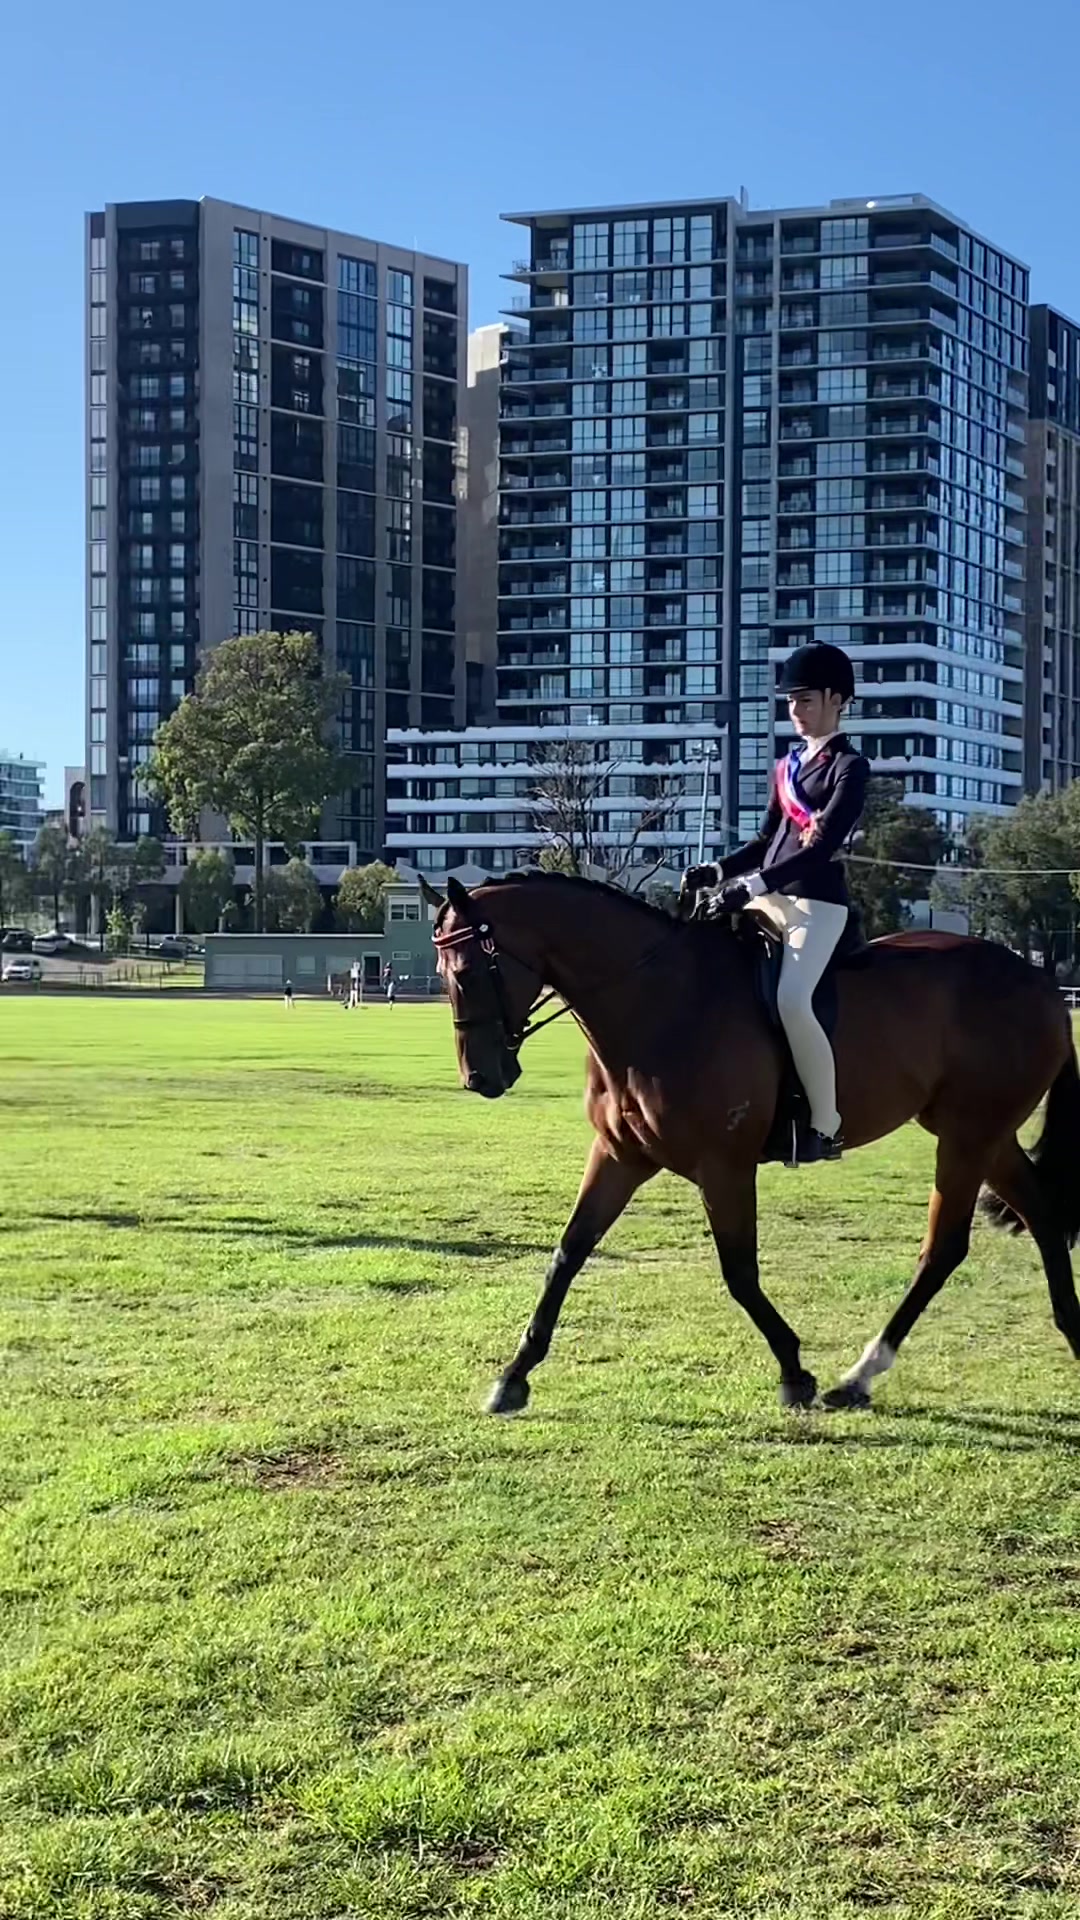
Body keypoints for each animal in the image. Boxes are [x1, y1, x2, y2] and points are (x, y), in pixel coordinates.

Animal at [427, 871, 1080, 1414]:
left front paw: (794, 1371)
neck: (659, 1000)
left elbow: (739, 1271)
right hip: (979, 1132)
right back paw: (1071, 1334)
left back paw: (859, 1375)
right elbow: (568, 1253)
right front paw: (513, 1376)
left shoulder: (725, 1166)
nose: (481, 1078)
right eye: (443, 977)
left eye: (466, 973)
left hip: (968, 1135)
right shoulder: (619, 1155)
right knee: (1043, 1214)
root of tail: (1040, 982)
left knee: (944, 1249)